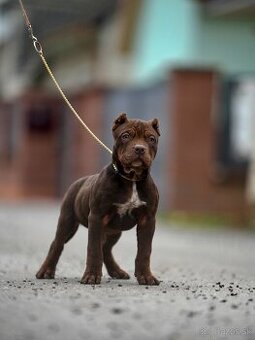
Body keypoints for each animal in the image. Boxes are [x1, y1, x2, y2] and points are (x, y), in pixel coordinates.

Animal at [36, 113, 159, 286]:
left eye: (151, 139)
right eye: (126, 136)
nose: (140, 148)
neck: (131, 178)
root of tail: (79, 181)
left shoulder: (147, 220)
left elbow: (145, 251)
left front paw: (146, 276)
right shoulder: (97, 217)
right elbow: (93, 249)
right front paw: (92, 276)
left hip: (113, 231)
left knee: (106, 248)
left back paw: (116, 271)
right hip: (68, 221)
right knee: (57, 244)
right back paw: (46, 271)